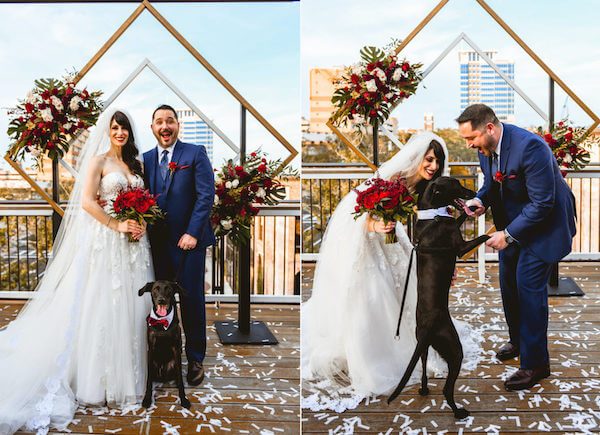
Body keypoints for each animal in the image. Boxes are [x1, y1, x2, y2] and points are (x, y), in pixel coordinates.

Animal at [138, 282, 190, 410]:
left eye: (169, 289)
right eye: (155, 289)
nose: (161, 300)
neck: (162, 321)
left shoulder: (176, 348)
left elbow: (180, 379)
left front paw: (183, 398)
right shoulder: (151, 348)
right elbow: (148, 379)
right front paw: (147, 398)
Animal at [386, 176, 490, 418]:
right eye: (457, 185)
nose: (473, 193)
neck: (433, 216)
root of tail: (427, 330)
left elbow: (462, 215)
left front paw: (476, 208)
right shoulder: (460, 247)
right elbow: (483, 235)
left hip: (423, 347)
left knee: (423, 366)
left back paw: (424, 389)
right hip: (454, 350)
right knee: (446, 389)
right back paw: (458, 411)